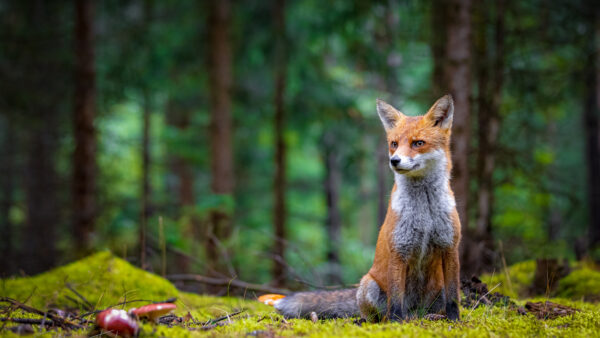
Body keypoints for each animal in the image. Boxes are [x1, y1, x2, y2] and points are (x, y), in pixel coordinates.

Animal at [260, 95, 462, 322]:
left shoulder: (450, 246)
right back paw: (379, 320)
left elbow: (453, 297)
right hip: (369, 285)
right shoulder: (399, 249)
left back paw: (432, 317)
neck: (425, 212)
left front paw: (455, 320)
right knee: (380, 313)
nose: (394, 160)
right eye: (394, 144)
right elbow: (396, 300)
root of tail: (415, 312)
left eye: (418, 143)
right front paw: (396, 324)